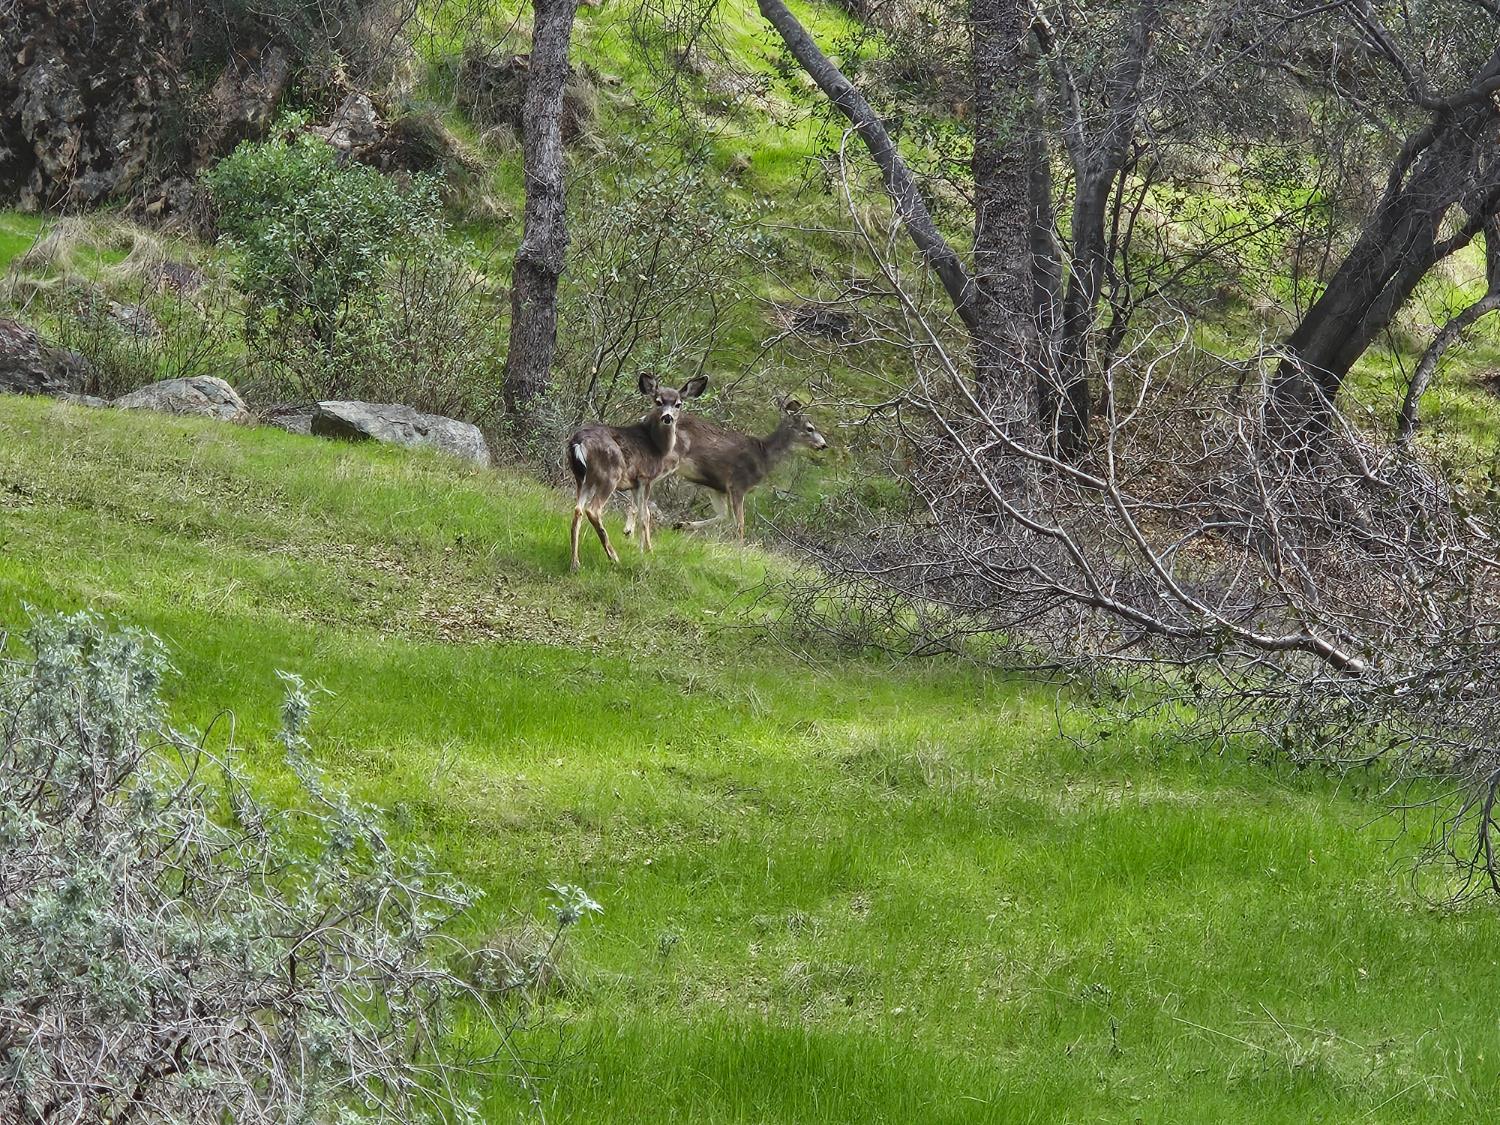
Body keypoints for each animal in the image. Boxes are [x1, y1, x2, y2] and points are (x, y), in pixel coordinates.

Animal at [565, 372, 708, 570]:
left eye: (678, 404)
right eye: (658, 401)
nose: (667, 417)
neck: (658, 447)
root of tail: (578, 442)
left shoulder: (633, 483)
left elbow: (636, 511)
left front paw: (637, 545)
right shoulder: (646, 477)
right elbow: (645, 514)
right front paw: (648, 551)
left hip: (583, 478)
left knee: (578, 510)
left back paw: (575, 563)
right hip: (609, 473)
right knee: (593, 510)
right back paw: (613, 557)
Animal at [624, 396, 828, 542]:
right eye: (809, 428)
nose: (824, 445)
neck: (763, 456)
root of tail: (646, 418)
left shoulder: (717, 487)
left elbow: (723, 516)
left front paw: (681, 524)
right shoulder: (738, 484)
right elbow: (740, 523)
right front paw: (740, 549)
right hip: (668, 459)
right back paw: (629, 529)